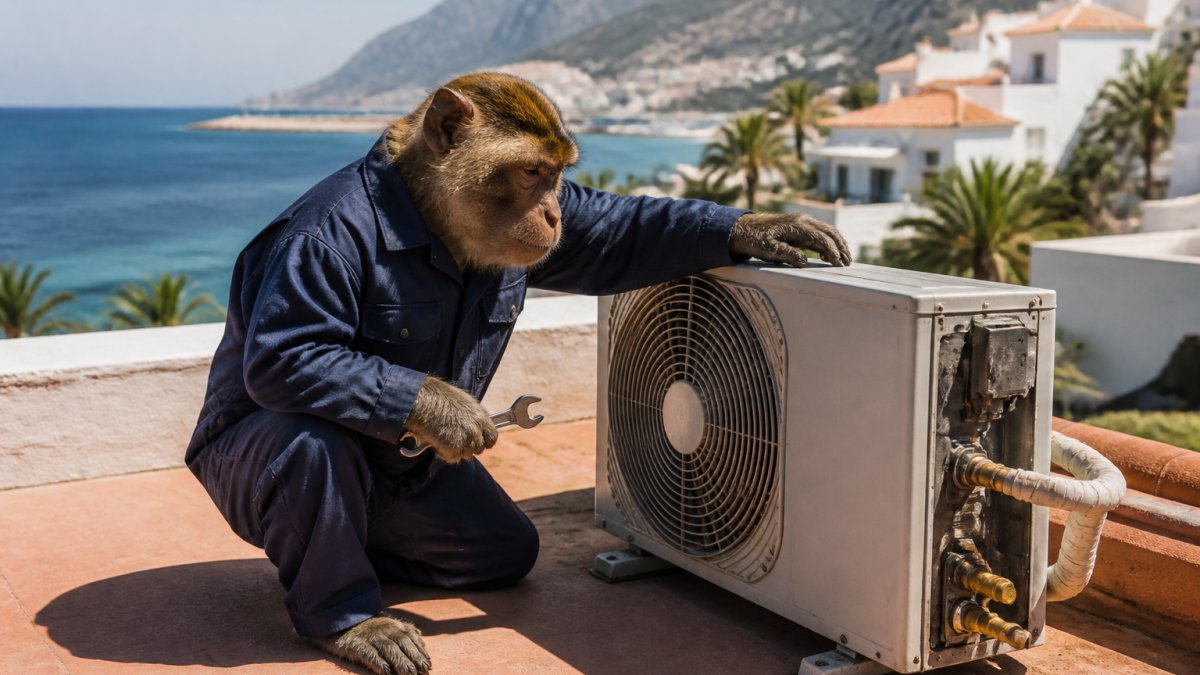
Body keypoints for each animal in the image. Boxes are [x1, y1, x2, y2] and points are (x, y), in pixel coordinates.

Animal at [184, 71, 849, 675]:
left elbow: (616, 231)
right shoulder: (313, 245)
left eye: (557, 178)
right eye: (530, 173)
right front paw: (450, 415)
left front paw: (763, 228)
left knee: (497, 544)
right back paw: (355, 620)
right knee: (304, 440)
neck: (428, 220)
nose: (554, 215)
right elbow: (287, 351)